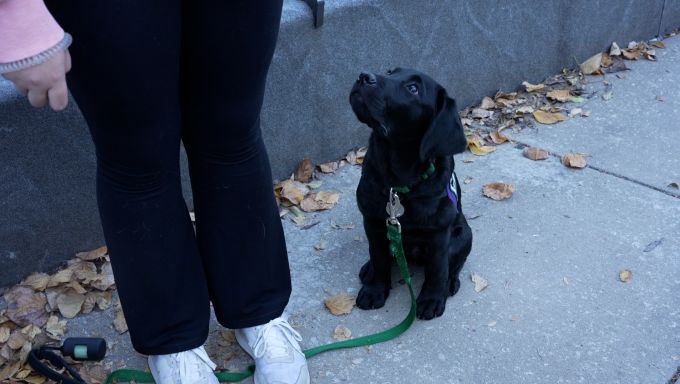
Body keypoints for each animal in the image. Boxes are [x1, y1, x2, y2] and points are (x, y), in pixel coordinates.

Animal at [348, 67, 470, 320]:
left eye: (413, 88)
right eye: (389, 71)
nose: (363, 76)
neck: (397, 183)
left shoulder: (438, 234)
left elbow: (437, 269)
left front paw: (432, 299)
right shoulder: (373, 223)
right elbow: (379, 258)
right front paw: (375, 289)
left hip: (464, 237)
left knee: (453, 266)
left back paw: (451, 284)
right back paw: (368, 269)